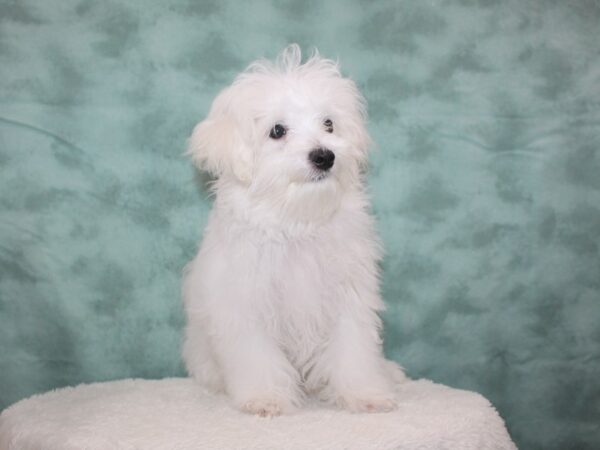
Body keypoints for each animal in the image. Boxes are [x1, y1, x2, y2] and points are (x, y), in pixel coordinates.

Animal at [180, 44, 404, 416]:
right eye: (277, 131)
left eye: (328, 123)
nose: (324, 156)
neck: (297, 219)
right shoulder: (246, 302)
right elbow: (256, 356)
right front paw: (265, 398)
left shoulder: (347, 299)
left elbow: (353, 351)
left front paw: (364, 394)